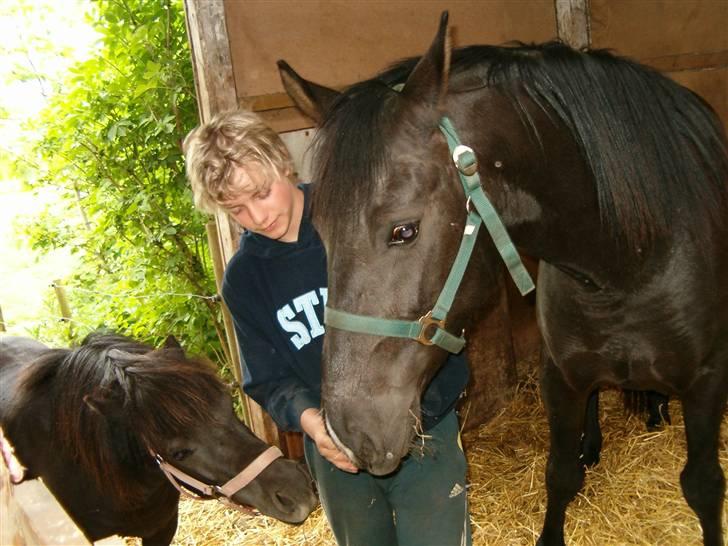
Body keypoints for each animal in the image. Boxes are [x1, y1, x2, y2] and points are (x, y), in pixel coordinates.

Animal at [276, 12, 724, 544]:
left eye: (404, 230)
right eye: (321, 233)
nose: (349, 432)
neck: (627, 262)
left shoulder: (707, 384)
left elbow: (703, 486)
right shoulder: (560, 378)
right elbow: (561, 473)